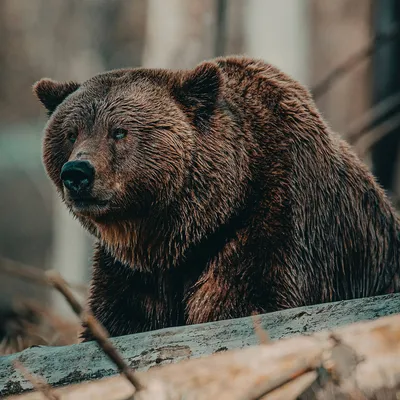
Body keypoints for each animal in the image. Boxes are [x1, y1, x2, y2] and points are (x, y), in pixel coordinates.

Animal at [32, 55, 400, 338]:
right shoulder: (133, 270)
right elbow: (120, 317)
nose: (77, 172)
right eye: (70, 133)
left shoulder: (276, 218)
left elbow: (246, 299)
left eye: (119, 131)